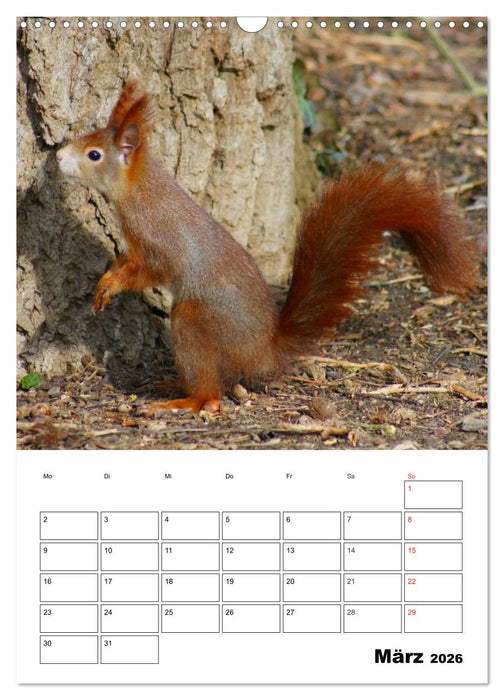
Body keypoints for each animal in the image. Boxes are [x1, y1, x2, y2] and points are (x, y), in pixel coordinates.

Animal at [56, 80, 479, 415]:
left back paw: (187, 401)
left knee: (212, 393)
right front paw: (105, 280)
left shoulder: (159, 239)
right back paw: (174, 385)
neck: (138, 189)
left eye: (94, 154)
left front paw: (113, 285)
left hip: (197, 322)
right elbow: (124, 261)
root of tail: (265, 352)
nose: (58, 155)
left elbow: (152, 269)